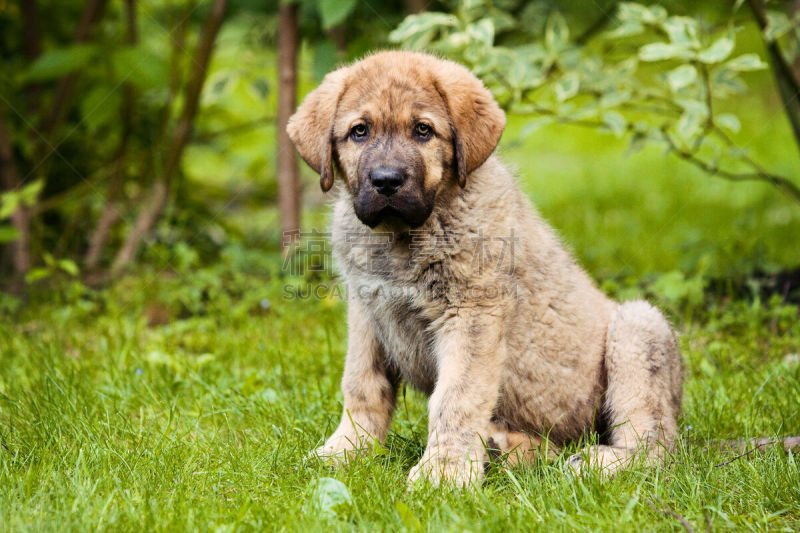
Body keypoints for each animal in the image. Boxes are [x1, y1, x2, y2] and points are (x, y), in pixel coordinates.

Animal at [288, 51, 680, 486]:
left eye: (423, 130)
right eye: (359, 131)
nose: (386, 181)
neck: (402, 237)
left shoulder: (471, 313)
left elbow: (456, 398)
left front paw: (443, 472)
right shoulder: (367, 312)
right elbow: (361, 386)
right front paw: (346, 451)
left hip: (638, 327)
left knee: (656, 443)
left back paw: (600, 462)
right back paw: (507, 448)